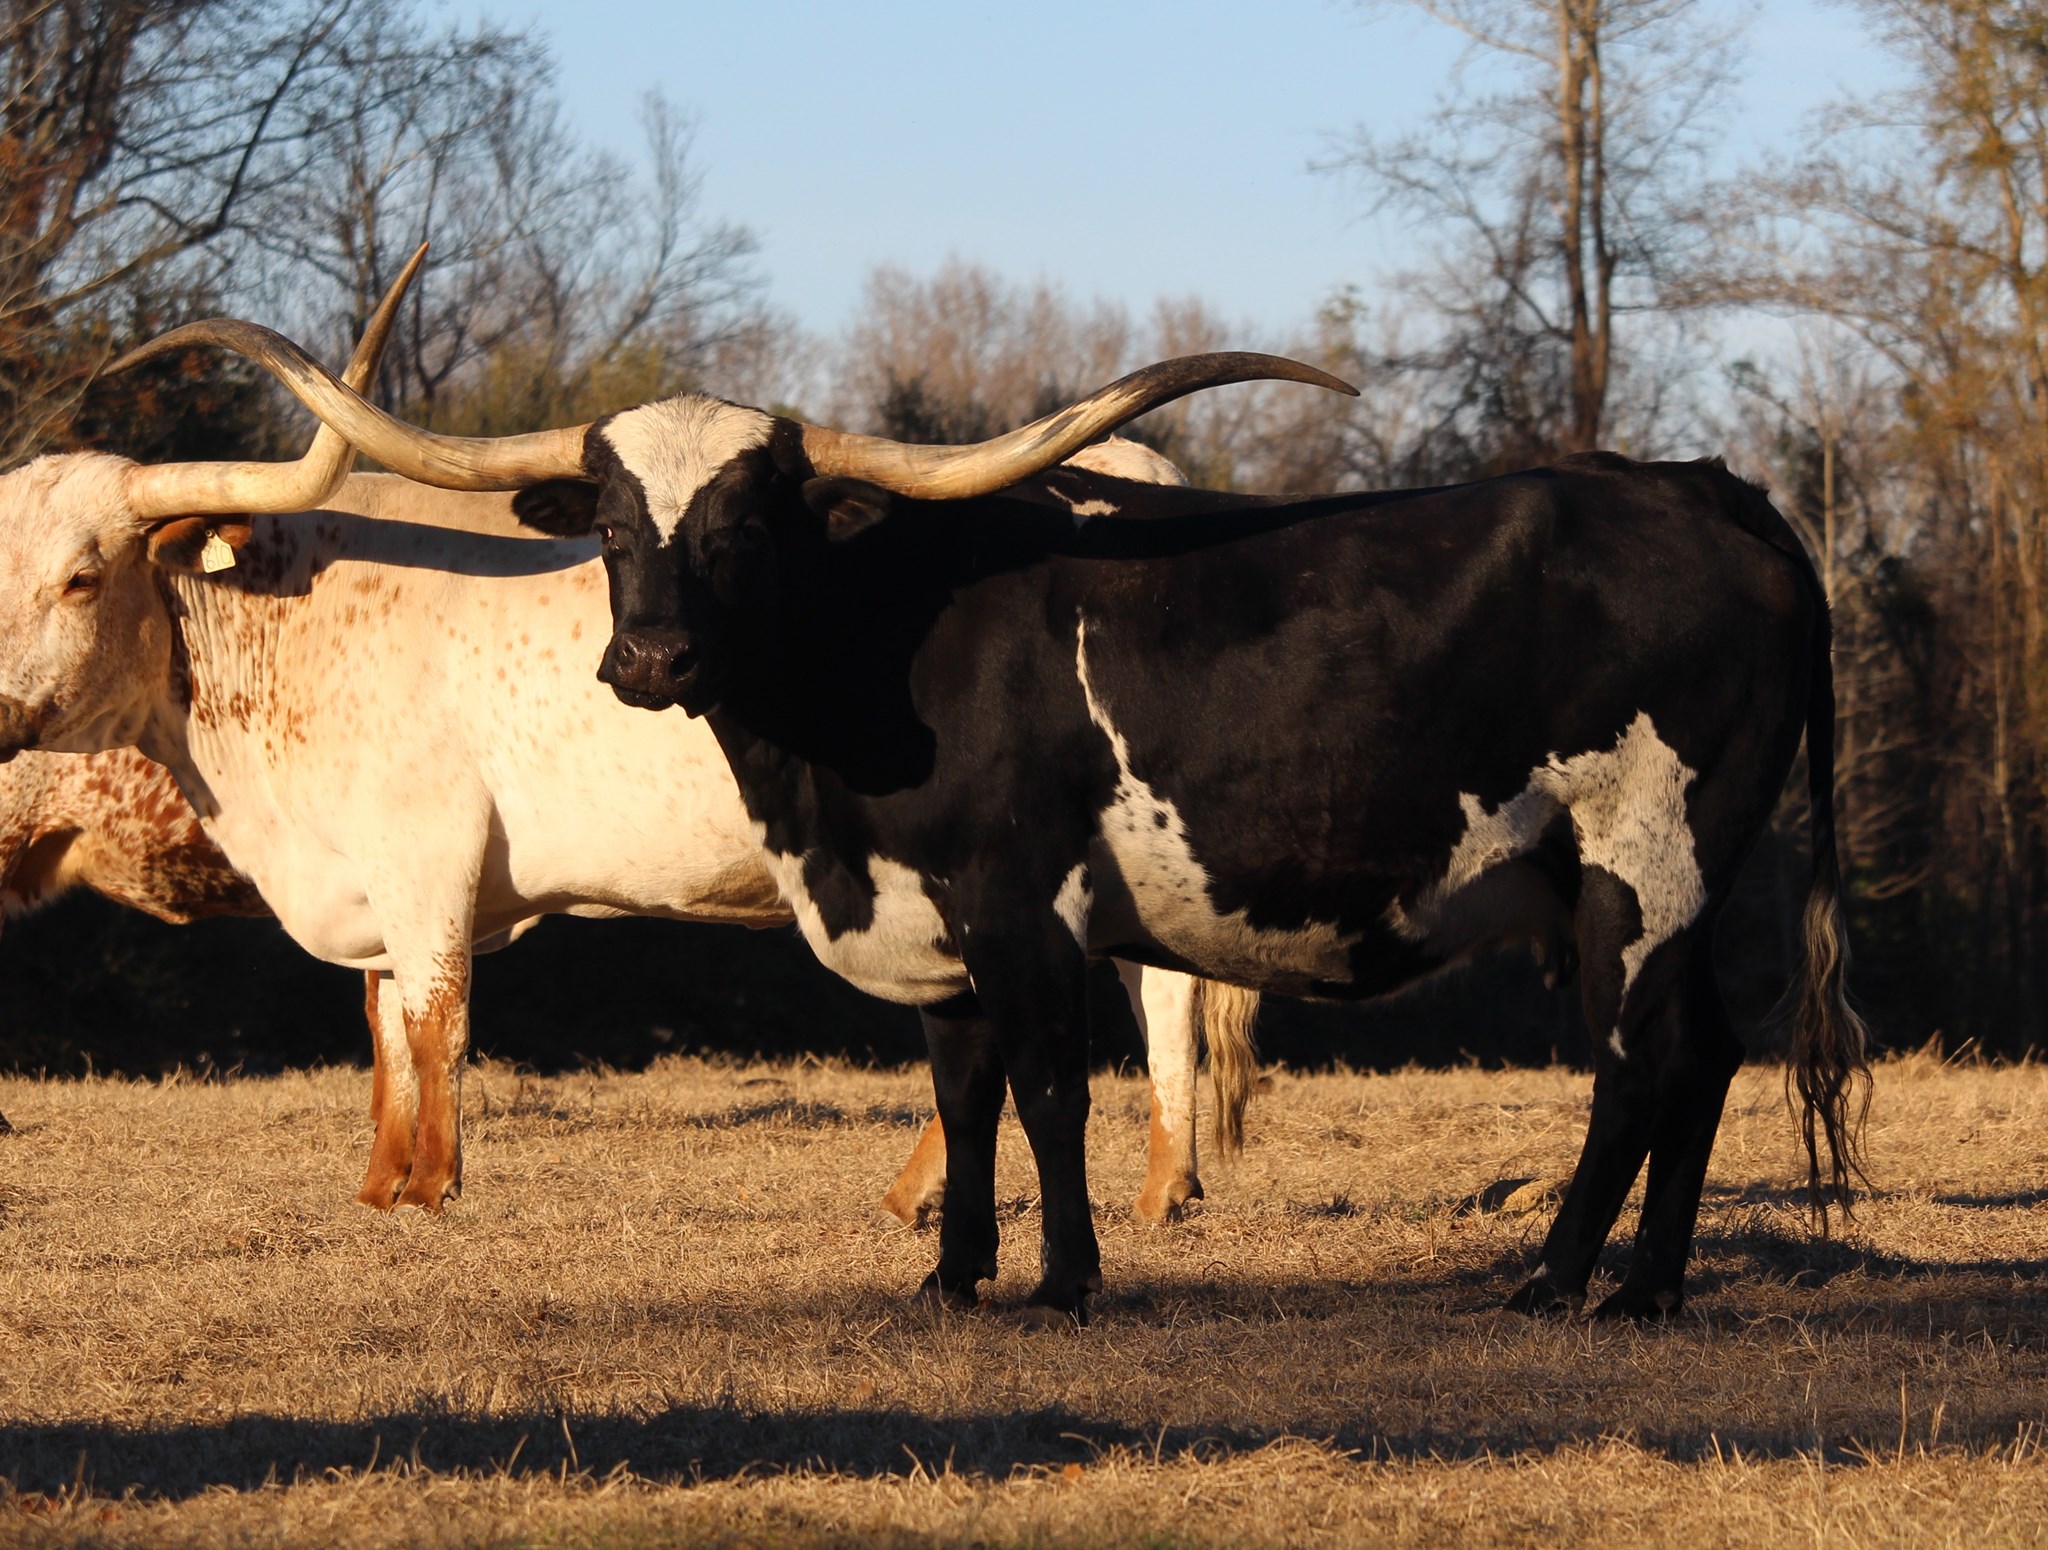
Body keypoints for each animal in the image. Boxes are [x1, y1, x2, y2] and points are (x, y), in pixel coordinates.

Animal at [200, 330, 1874, 1328]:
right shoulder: (930, 918)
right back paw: (1649, 1288)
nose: (654, 659)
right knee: (1705, 1058)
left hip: (1640, 867)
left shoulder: (1021, 904)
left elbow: (1054, 1091)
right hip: (1666, 880)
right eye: (615, 526)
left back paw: (1559, 1280)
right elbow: (966, 1093)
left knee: (1642, 1063)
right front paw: (954, 1275)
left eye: (748, 525)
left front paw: (1066, 1277)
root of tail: (1706, 486)